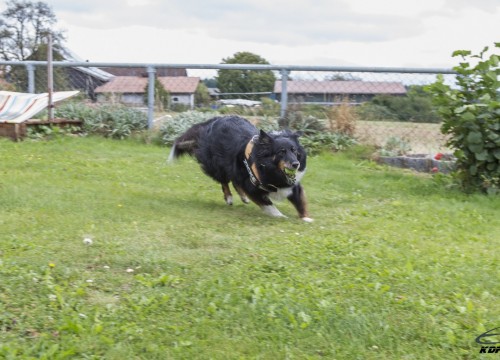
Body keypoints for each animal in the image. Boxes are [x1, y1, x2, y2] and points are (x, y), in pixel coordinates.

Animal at [170, 115, 314, 222]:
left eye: (294, 150)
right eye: (281, 152)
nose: (296, 164)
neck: (269, 168)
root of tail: (212, 121)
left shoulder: (292, 186)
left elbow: (300, 202)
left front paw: (306, 218)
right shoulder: (252, 187)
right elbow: (269, 205)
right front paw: (281, 216)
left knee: (234, 181)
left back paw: (243, 197)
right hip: (219, 166)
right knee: (224, 181)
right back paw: (229, 197)